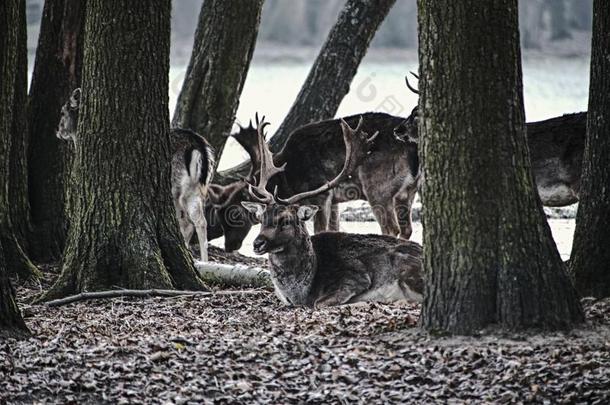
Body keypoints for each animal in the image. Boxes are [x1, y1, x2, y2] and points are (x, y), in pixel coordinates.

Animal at [55, 87, 216, 260]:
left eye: (62, 112)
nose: (58, 131)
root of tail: (199, 147)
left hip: (175, 186)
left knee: (186, 221)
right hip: (196, 189)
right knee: (199, 221)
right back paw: (201, 260)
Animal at [240, 115, 420, 304]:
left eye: (286, 220)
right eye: (262, 218)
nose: (257, 243)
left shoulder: (322, 194)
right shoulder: (334, 201)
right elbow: (334, 227)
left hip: (377, 188)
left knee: (391, 228)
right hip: (407, 193)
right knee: (406, 228)